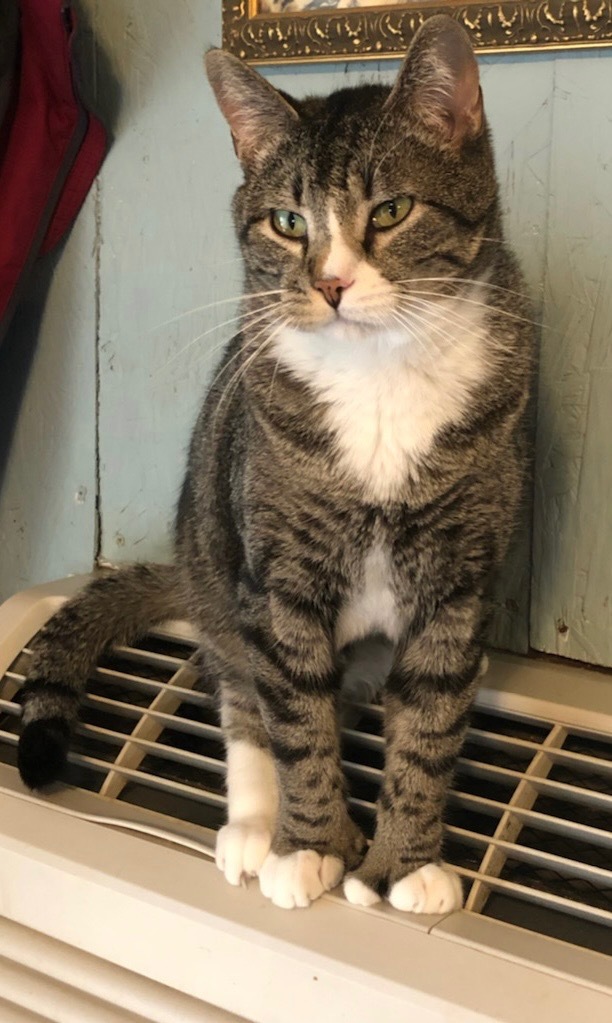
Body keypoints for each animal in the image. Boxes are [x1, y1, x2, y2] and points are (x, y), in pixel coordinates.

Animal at [16, 15, 536, 912]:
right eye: (289, 222)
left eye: (391, 210)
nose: (330, 284)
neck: (379, 377)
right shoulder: (279, 577)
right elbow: (295, 719)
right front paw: (311, 845)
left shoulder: (458, 582)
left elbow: (430, 725)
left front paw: (406, 861)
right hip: (214, 554)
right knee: (242, 693)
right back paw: (258, 828)